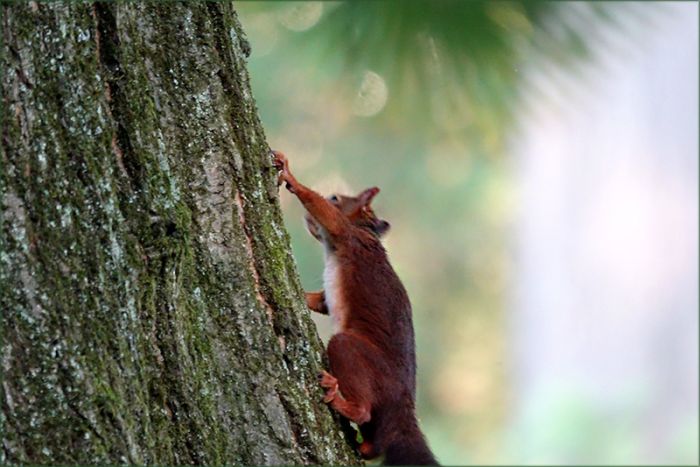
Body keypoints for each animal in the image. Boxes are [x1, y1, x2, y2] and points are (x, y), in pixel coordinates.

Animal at [272, 150, 438, 466]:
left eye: (336, 198)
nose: (306, 219)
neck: (363, 230)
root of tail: (403, 406)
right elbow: (320, 302)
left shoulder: (345, 232)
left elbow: (326, 213)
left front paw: (291, 176)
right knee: (375, 440)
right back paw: (366, 445)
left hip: (354, 352)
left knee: (362, 409)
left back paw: (338, 399)